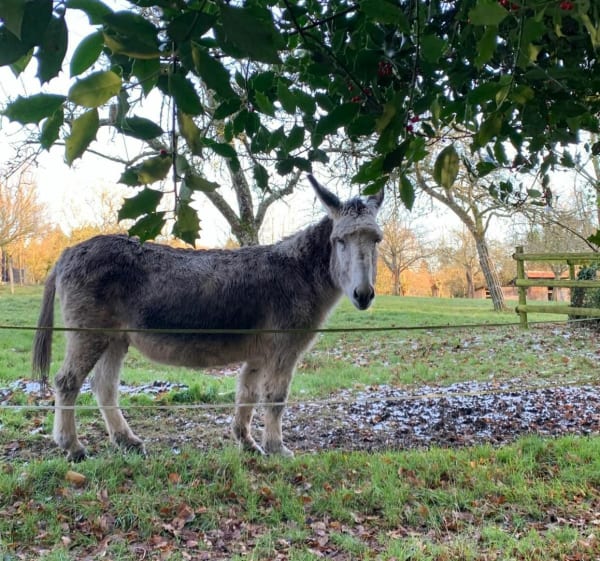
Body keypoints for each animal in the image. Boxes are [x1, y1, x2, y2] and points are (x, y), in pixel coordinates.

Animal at [32, 175, 384, 461]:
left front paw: (247, 443)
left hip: (114, 339)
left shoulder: (258, 353)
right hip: (88, 333)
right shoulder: (283, 349)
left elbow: (246, 395)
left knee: (104, 386)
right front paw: (276, 448)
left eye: (376, 240)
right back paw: (72, 446)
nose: (364, 295)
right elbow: (275, 398)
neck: (301, 271)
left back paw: (126, 441)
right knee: (67, 382)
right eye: (340, 241)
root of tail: (68, 252)